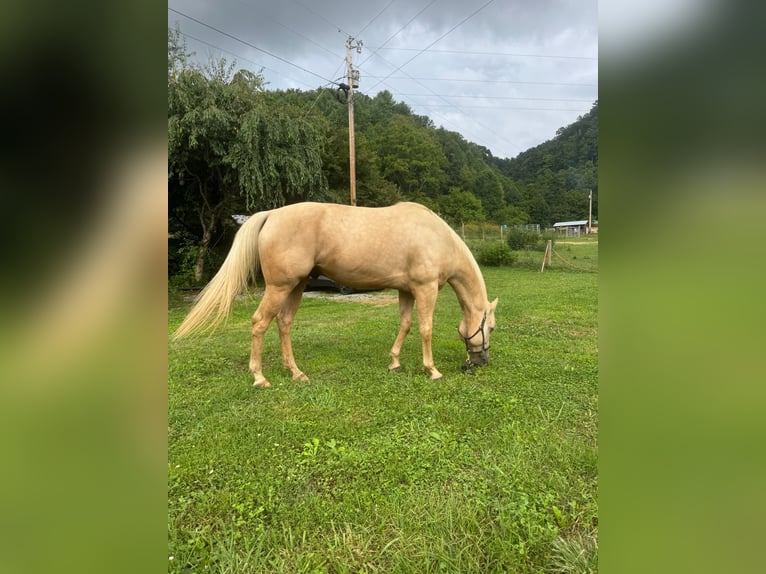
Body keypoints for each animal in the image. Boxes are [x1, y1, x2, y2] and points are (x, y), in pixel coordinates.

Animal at [172, 202, 498, 388]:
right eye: (491, 327)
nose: (481, 362)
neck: (437, 238)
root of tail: (271, 215)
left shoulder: (406, 290)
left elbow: (405, 325)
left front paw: (394, 362)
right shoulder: (425, 288)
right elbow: (426, 328)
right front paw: (432, 370)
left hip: (297, 286)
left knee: (284, 323)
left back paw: (296, 373)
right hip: (279, 287)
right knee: (260, 323)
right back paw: (260, 377)